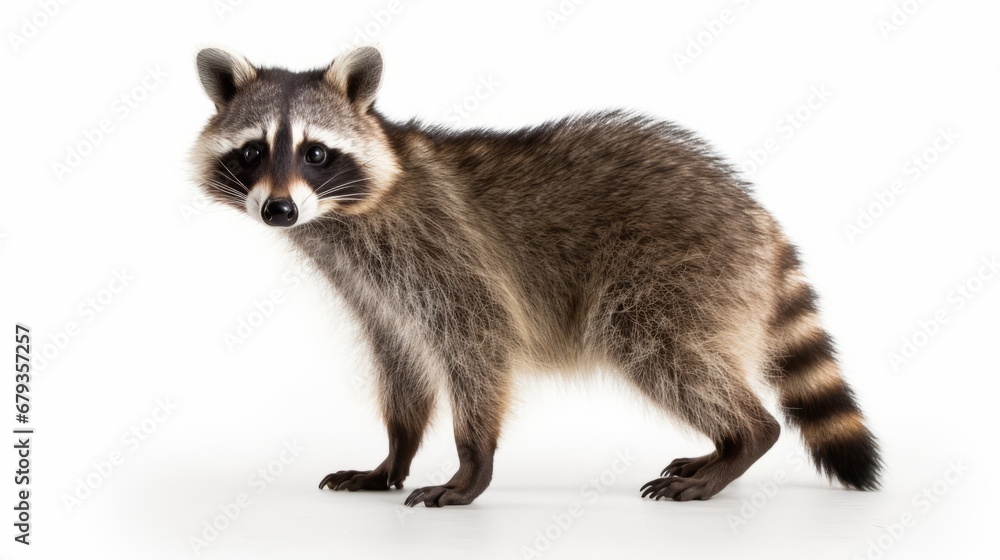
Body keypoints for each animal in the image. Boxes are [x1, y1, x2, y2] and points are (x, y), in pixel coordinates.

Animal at [191, 45, 882, 506]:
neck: (341, 215)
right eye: (253, 152)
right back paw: (721, 445)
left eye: (315, 152)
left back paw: (744, 436)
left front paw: (472, 465)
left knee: (659, 346)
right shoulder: (375, 290)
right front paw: (394, 453)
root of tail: (753, 212)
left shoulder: (441, 250)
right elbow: (401, 362)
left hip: (678, 270)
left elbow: (479, 340)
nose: (279, 210)